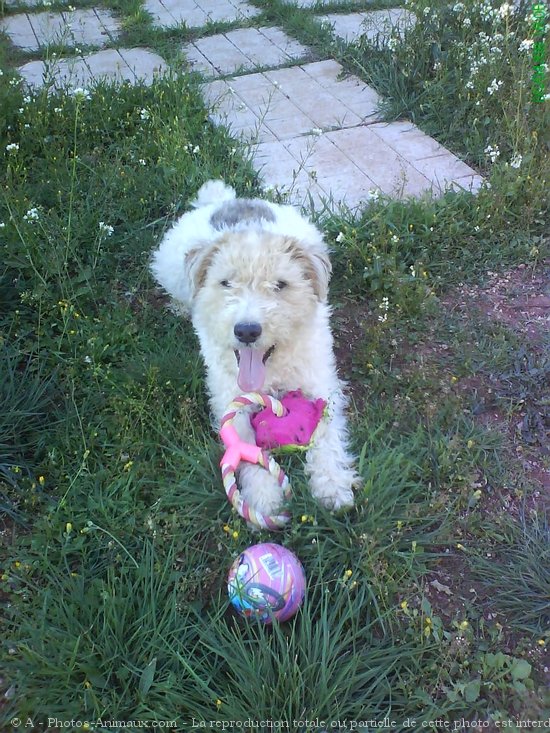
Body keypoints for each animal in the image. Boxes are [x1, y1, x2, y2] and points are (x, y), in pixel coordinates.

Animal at [151, 179, 358, 516]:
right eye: (225, 283)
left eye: (280, 285)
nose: (247, 330)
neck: (271, 370)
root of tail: (226, 201)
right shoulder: (231, 400)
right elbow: (247, 450)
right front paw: (264, 499)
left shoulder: (321, 383)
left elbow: (327, 437)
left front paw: (332, 486)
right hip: (169, 264)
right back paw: (182, 307)